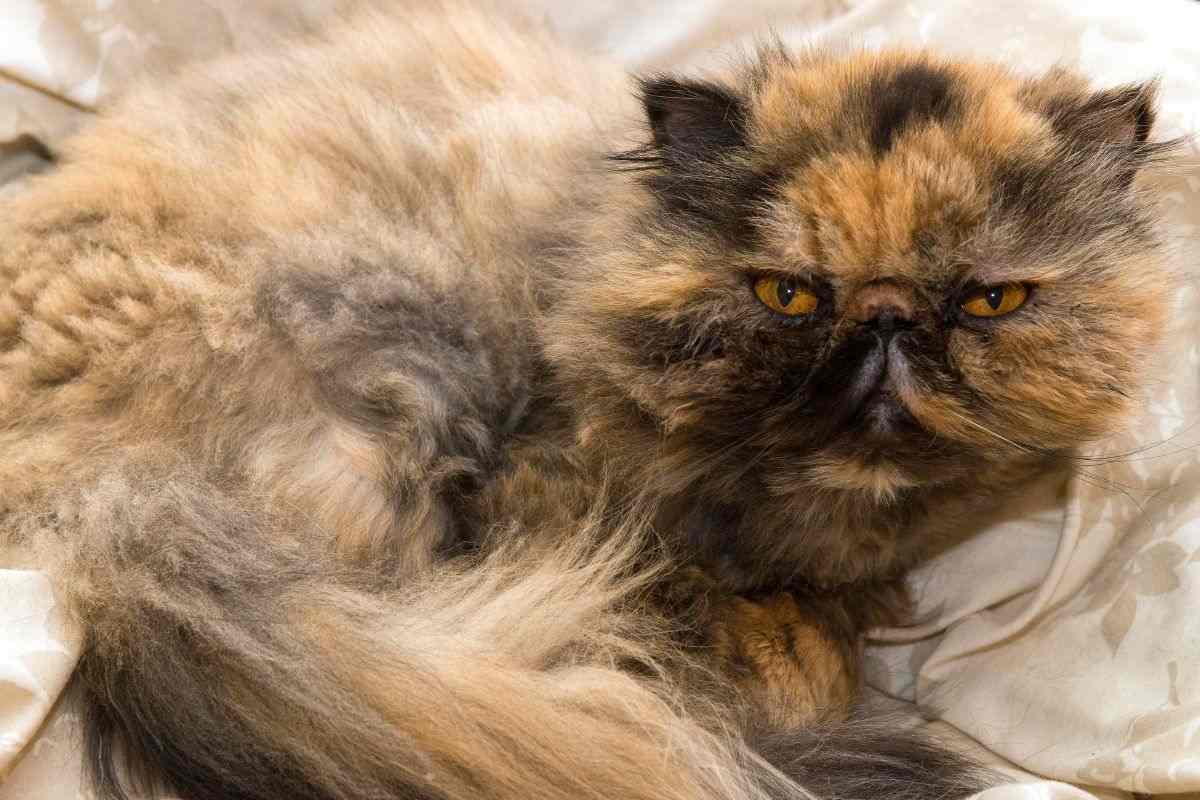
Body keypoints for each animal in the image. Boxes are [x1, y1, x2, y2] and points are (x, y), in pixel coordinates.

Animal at [0, 2, 1175, 800]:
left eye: (988, 300)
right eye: (789, 294)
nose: (886, 325)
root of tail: (106, 507)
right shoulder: (552, 492)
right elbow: (754, 644)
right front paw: (780, 647)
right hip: (407, 350)